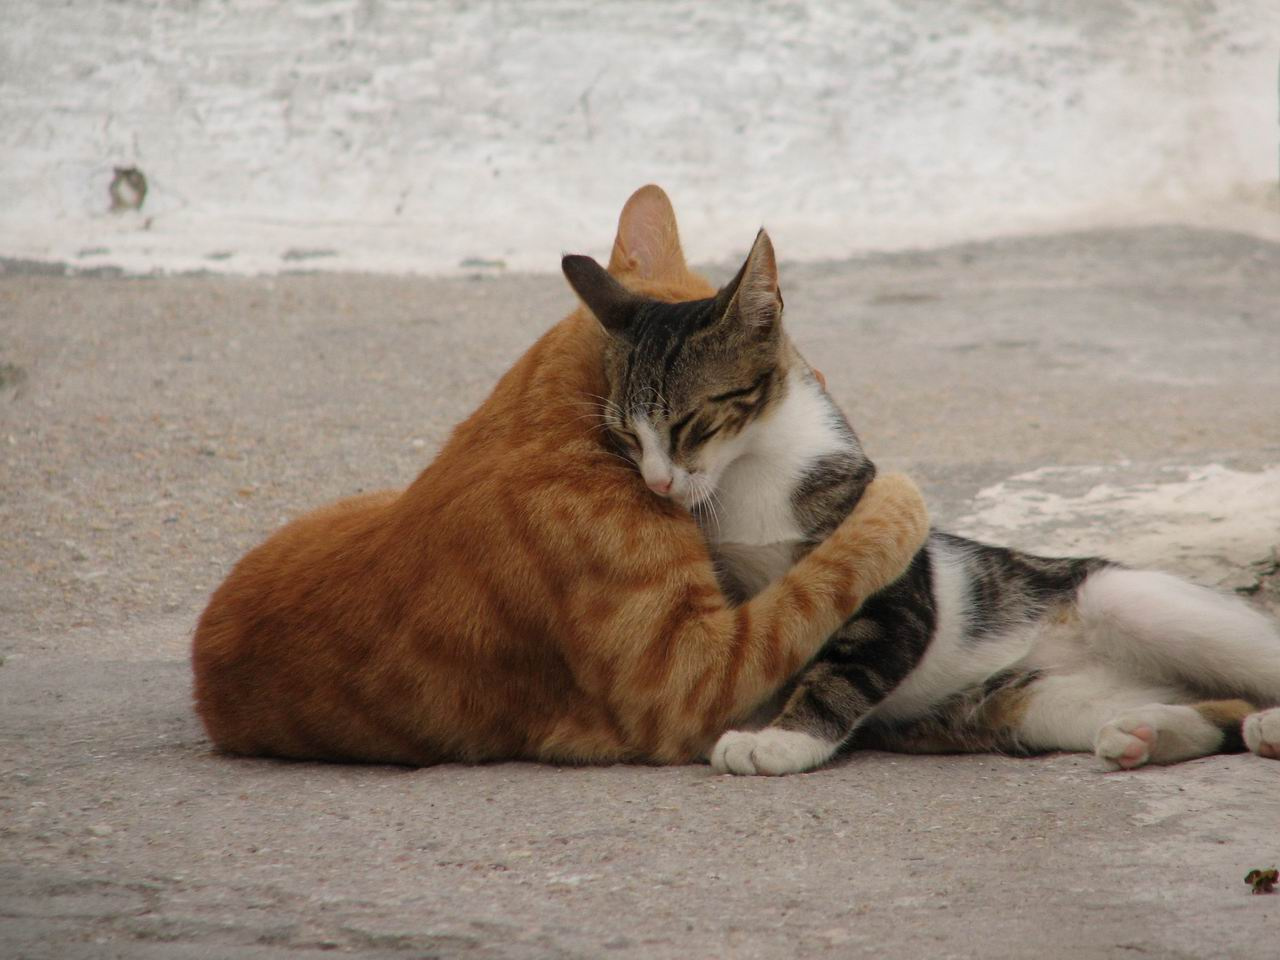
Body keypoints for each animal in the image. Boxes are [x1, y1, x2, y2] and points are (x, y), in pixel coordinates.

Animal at [192, 184, 931, 762]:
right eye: (650, 434)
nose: (660, 484)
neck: (545, 416)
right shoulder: (688, 678)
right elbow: (813, 587)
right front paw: (897, 502)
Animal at [565, 216, 1280, 773]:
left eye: (691, 424)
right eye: (626, 437)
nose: (658, 483)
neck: (751, 469)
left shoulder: (896, 579)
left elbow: (847, 664)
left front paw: (785, 740)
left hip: (1131, 599)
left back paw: (1259, 726)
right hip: (1036, 700)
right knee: (1219, 708)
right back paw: (1148, 732)